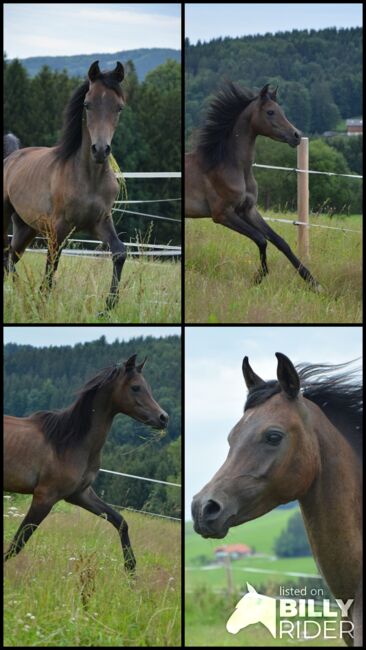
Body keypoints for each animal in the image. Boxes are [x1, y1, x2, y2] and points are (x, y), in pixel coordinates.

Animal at [3, 61, 127, 312]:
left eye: (119, 107)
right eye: (87, 104)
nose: (100, 150)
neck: (87, 179)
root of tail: (10, 158)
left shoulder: (100, 222)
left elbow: (119, 253)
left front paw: (108, 307)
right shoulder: (58, 229)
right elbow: (52, 266)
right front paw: (41, 305)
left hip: (25, 228)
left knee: (10, 256)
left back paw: (20, 293)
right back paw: (23, 294)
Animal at [3, 354, 169, 572]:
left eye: (147, 386)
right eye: (135, 387)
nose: (164, 418)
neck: (68, 441)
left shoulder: (80, 494)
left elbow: (120, 521)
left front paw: (131, 570)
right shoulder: (44, 497)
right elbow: (17, 544)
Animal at [186, 83, 320, 288]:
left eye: (281, 110)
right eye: (270, 112)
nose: (297, 135)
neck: (230, 167)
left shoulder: (248, 210)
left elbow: (280, 242)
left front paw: (313, 282)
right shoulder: (222, 214)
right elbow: (261, 239)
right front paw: (258, 277)